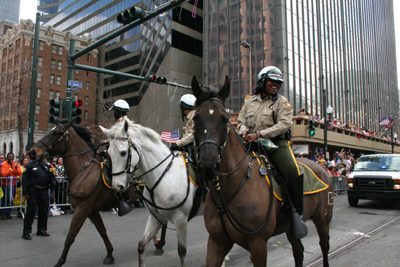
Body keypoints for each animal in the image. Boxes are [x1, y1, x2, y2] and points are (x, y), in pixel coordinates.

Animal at [28, 120, 166, 266]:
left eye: (56, 132)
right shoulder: (91, 211)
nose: (32, 152)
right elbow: (102, 231)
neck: (84, 169)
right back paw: (158, 243)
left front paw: (59, 262)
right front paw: (110, 254)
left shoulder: (81, 209)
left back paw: (160, 245)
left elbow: (70, 236)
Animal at [100, 119, 203, 267]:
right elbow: (141, 245)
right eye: (108, 153)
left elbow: (182, 251)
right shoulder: (156, 217)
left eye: (123, 152)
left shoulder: (181, 219)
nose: (117, 186)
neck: (164, 173)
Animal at [191, 76, 334, 266]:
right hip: (292, 228)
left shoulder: (258, 244)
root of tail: (323, 169)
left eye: (224, 119)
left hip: (323, 219)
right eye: (196, 118)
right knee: (298, 251)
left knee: (324, 246)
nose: (208, 164)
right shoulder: (216, 242)